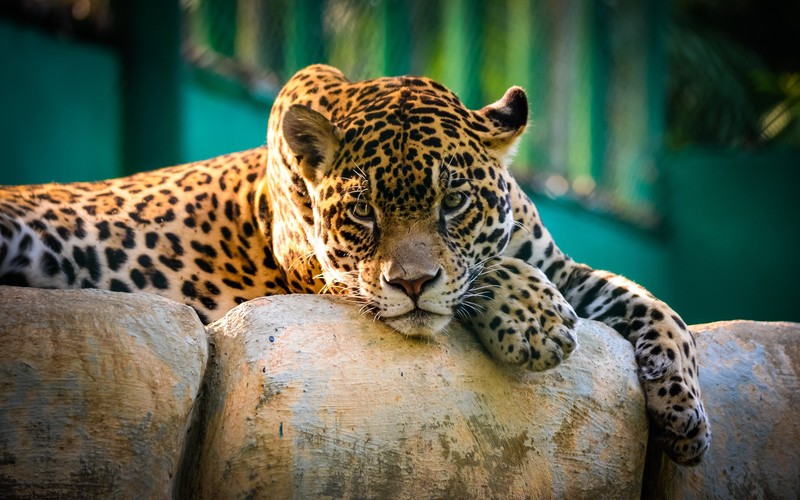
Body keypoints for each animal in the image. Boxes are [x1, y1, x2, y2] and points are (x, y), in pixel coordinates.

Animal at [0, 64, 709, 465]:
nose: (412, 283)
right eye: (363, 213)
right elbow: (477, 279)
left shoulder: (562, 267)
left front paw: (685, 415)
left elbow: (655, 305)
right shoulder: (330, 278)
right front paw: (534, 321)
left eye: (454, 201)